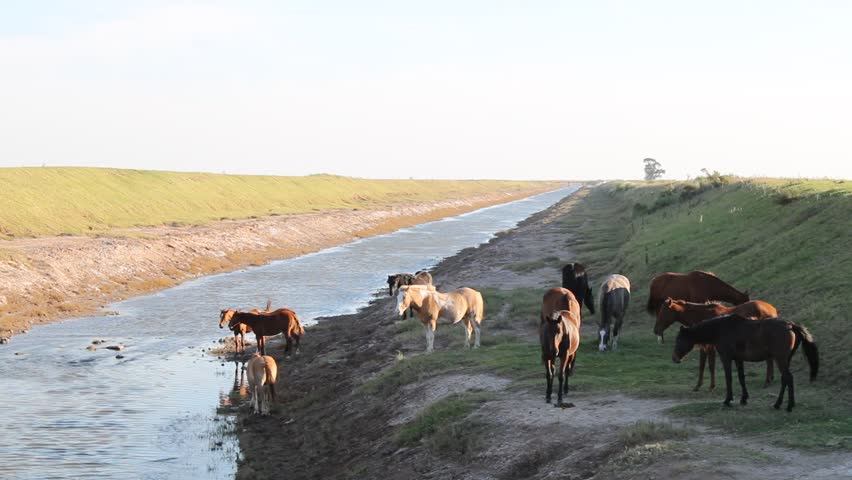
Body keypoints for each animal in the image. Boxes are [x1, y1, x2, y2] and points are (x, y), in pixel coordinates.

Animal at [672, 314, 818, 412]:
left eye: (678, 340)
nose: (674, 358)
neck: (720, 329)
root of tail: (791, 325)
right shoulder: (738, 359)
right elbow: (741, 378)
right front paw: (744, 399)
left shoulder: (726, 358)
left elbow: (729, 378)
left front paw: (727, 400)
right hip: (785, 360)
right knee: (785, 379)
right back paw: (778, 404)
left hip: (780, 359)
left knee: (788, 378)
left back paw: (788, 406)